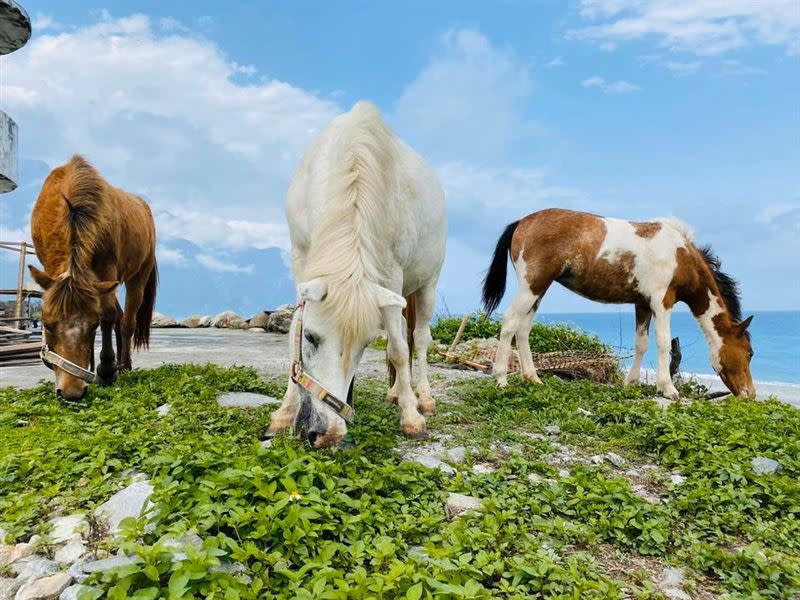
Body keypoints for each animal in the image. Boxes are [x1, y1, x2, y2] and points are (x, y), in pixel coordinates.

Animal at [27, 156, 158, 398]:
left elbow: (107, 315)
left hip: (138, 276)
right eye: (46, 325)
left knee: (127, 321)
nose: (72, 393)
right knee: (120, 316)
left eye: (93, 325)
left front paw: (105, 370)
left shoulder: (107, 268)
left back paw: (123, 367)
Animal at [268, 103, 444, 448]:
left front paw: (412, 418)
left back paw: (423, 398)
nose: (326, 434)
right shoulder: (302, 260)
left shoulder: (390, 275)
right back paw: (395, 394)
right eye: (311, 337)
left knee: (417, 339)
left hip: (425, 287)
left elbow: (398, 350)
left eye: (364, 346)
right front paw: (283, 414)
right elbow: (294, 326)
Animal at [482, 209, 756, 400]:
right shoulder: (662, 302)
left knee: (523, 329)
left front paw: (631, 383)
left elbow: (641, 343)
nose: (750, 395)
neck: (680, 255)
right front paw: (668, 389)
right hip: (531, 287)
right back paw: (501, 379)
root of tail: (522, 222)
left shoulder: (643, 304)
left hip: (538, 290)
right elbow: (663, 343)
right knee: (509, 322)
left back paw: (533, 378)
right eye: (749, 353)